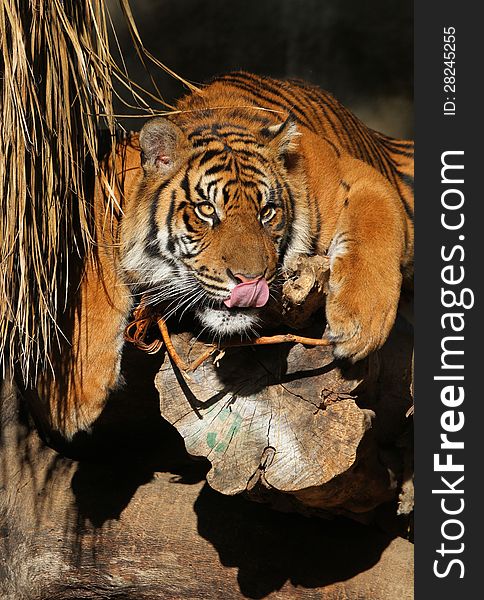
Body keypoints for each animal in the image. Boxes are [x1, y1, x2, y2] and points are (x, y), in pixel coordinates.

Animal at [34, 72, 414, 438]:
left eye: (266, 212)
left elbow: (377, 225)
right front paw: (69, 397)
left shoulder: (358, 177)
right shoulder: (101, 195)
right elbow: (89, 282)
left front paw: (359, 326)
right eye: (206, 210)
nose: (251, 280)